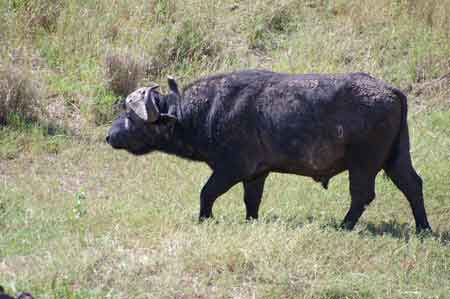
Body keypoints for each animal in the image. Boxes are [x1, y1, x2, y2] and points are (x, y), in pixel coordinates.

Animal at [106, 69, 432, 232]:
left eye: (132, 117)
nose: (109, 135)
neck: (206, 111)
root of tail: (391, 91)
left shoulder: (229, 170)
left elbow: (206, 193)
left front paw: (205, 219)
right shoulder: (257, 174)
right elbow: (252, 201)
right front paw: (251, 222)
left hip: (363, 163)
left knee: (362, 195)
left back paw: (345, 225)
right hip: (396, 158)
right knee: (413, 185)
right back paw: (423, 228)